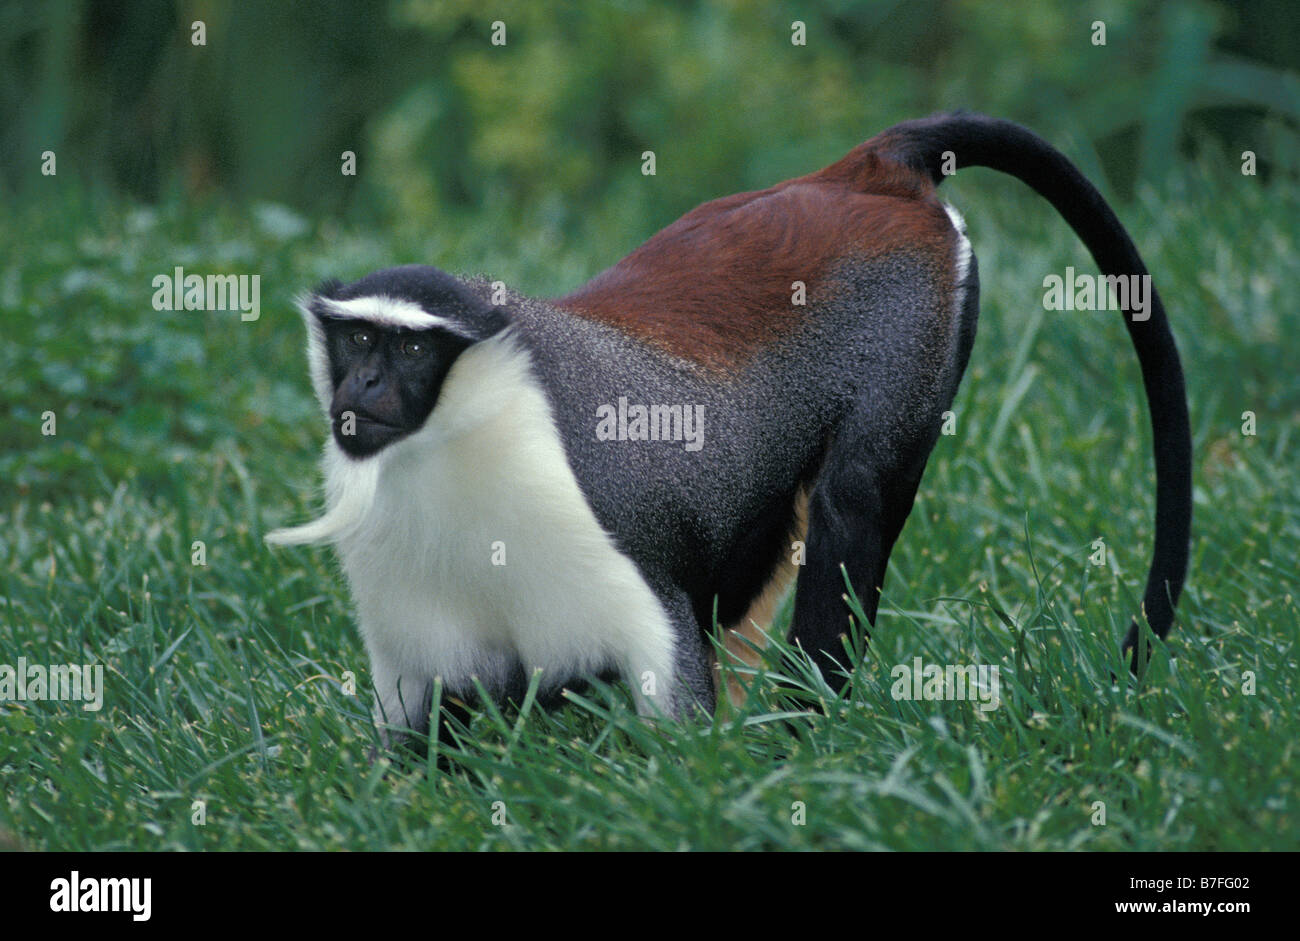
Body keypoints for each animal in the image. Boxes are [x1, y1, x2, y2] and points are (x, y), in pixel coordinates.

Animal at [269, 112, 1190, 759]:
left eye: (409, 349)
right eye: (356, 339)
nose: (361, 388)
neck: (462, 438)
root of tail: (862, 173)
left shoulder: (617, 554)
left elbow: (668, 671)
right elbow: (433, 724)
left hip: (912, 328)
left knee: (854, 499)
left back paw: (799, 738)